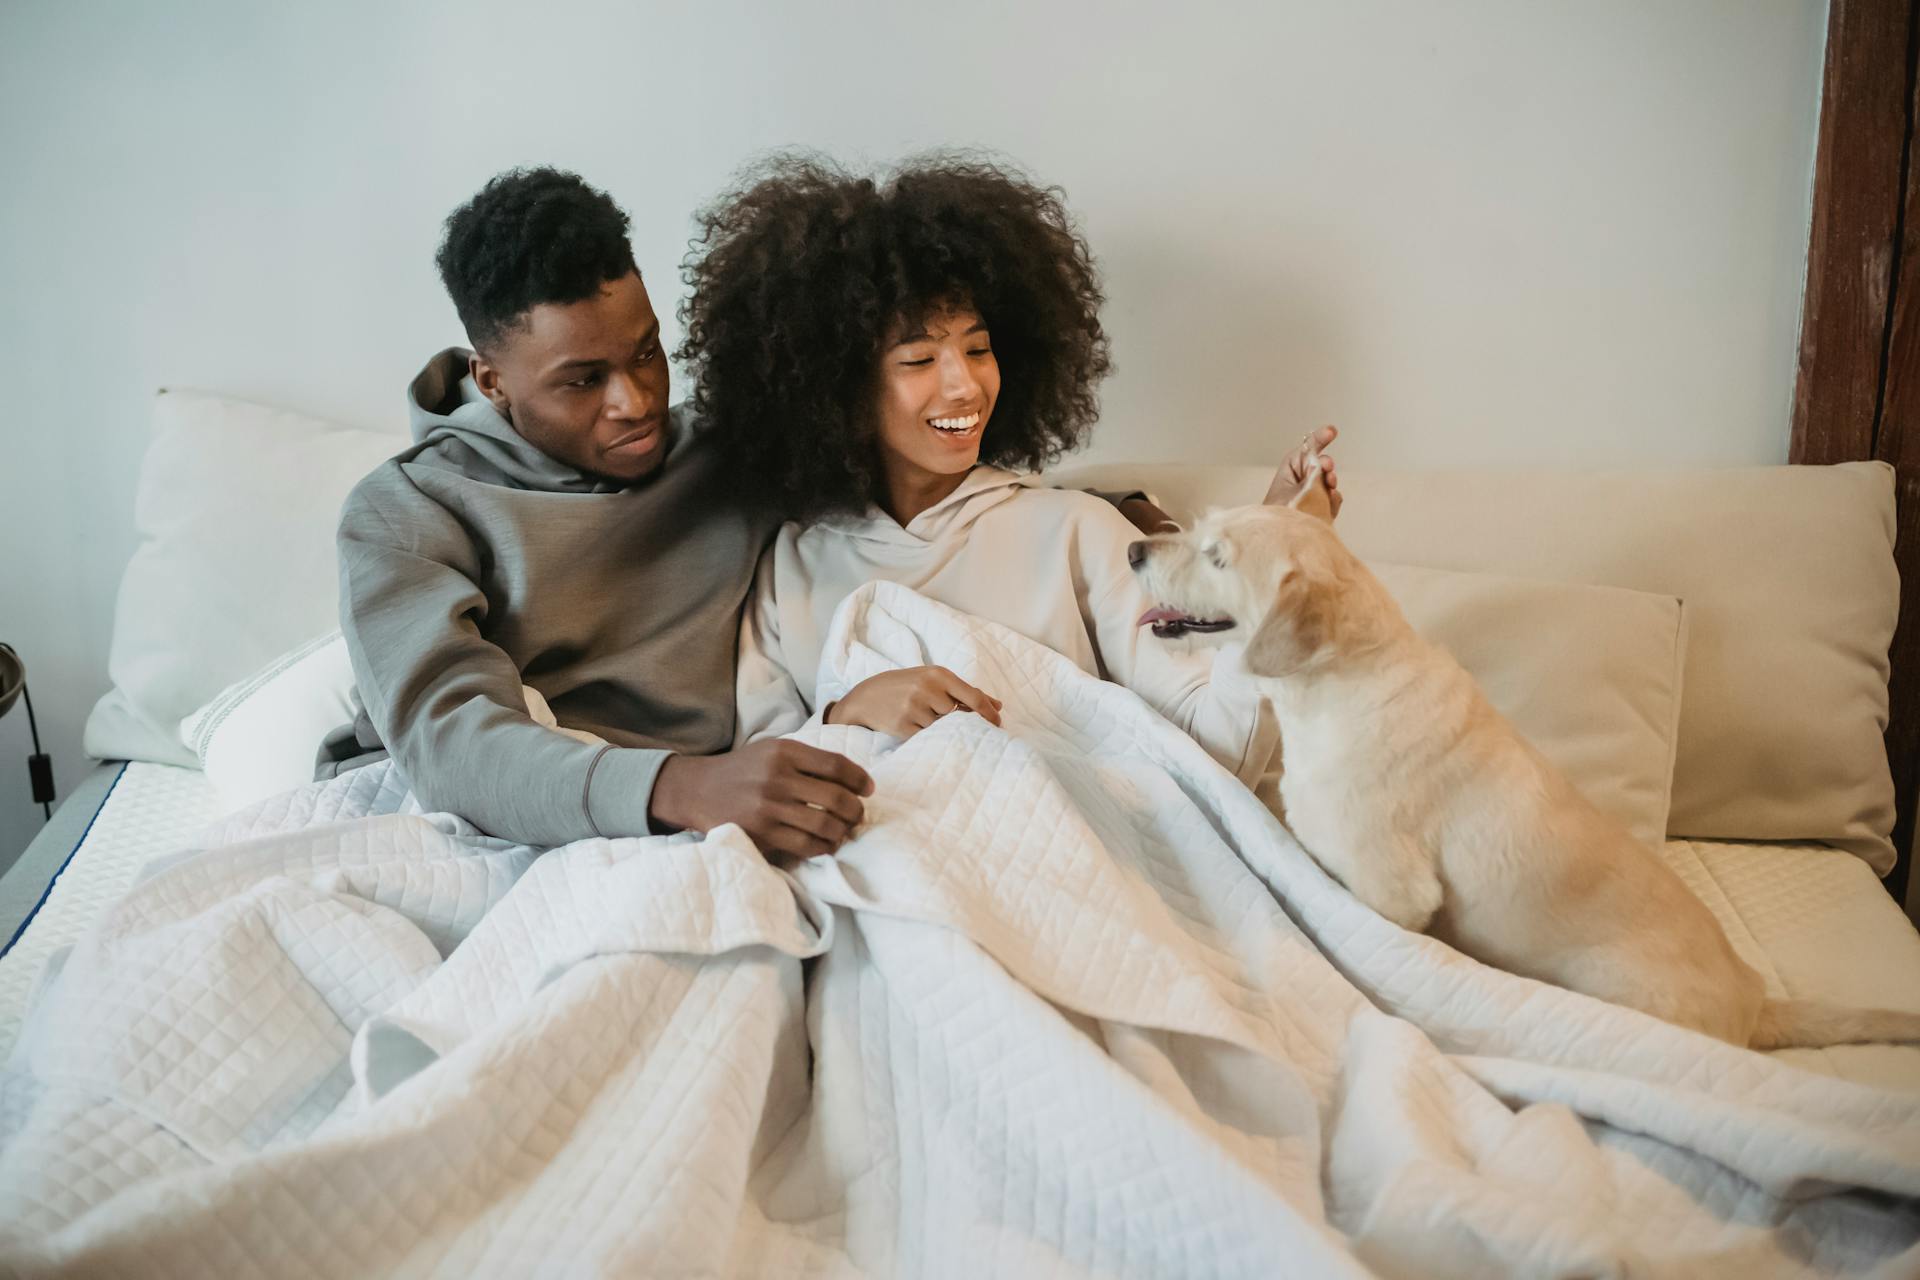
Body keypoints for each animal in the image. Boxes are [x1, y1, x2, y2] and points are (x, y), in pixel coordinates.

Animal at [1121, 479, 1920, 1051]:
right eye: (1200, 531)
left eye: (1218, 556)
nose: (1133, 553)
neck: (1343, 683)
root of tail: (1756, 1002)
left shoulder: (1390, 893)